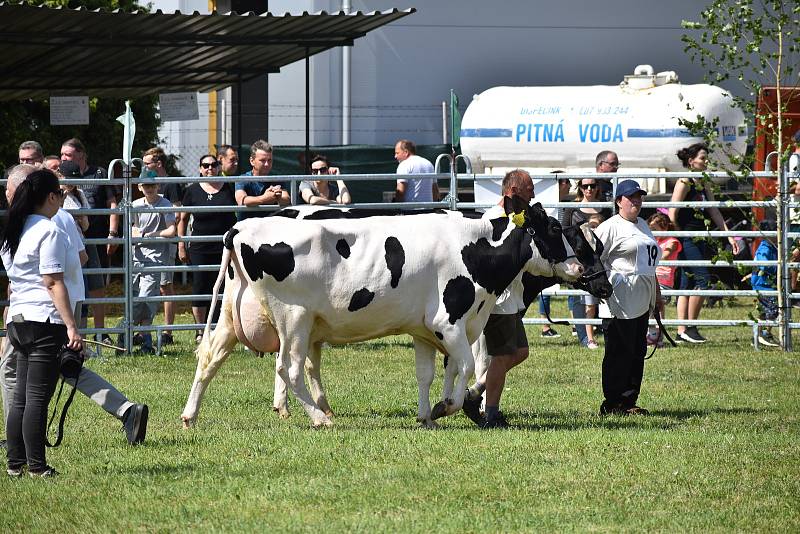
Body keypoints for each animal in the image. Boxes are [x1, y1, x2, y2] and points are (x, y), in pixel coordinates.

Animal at [180, 199, 580, 430]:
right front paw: (448, 406)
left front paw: (428, 415)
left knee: (209, 358)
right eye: (555, 228)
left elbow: (432, 372)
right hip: (294, 318)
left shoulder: (431, 329)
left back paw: (190, 416)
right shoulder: (450, 322)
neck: (473, 249)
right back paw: (320, 418)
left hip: (233, 316)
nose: (578, 268)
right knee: (288, 368)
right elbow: (466, 366)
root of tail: (242, 227)